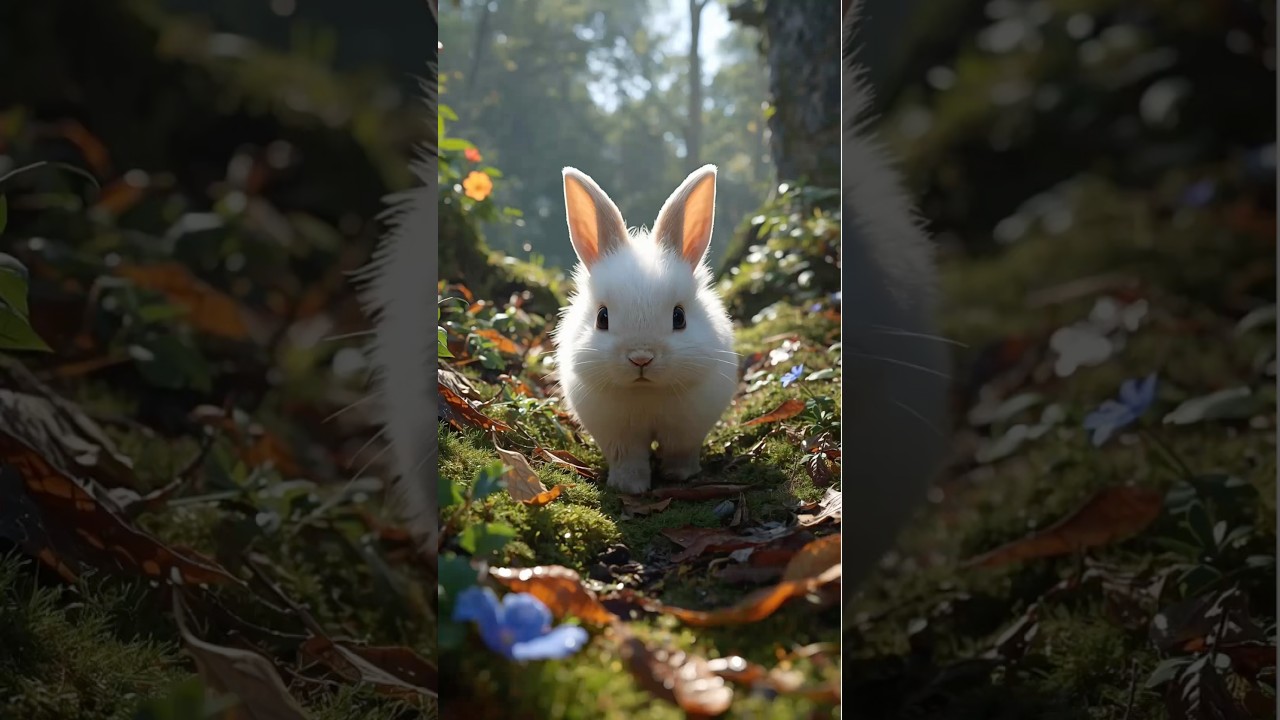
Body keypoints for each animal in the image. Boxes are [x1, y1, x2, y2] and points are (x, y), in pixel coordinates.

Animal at [551, 165, 738, 494]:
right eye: (602, 318)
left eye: (679, 317)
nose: (641, 358)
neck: (645, 393)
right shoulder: (619, 437)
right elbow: (629, 459)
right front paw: (630, 487)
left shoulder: (686, 430)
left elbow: (680, 451)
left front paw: (679, 476)